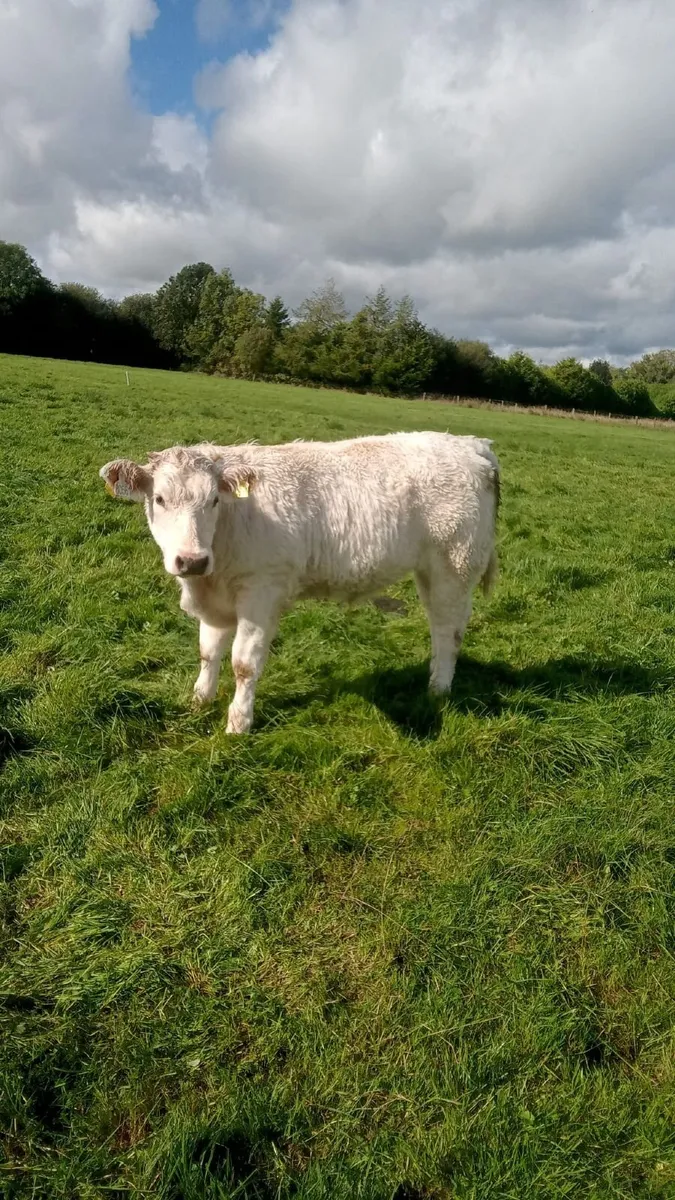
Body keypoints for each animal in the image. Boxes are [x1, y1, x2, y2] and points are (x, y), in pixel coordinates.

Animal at [100, 432, 500, 733]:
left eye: (213, 500)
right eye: (159, 499)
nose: (192, 560)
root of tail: (471, 444)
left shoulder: (262, 592)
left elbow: (244, 663)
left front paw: (238, 724)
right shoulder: (214, 599)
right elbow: (208, 651)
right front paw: (200, 700)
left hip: (455, 567)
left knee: (448, 632)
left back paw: (438, 690)